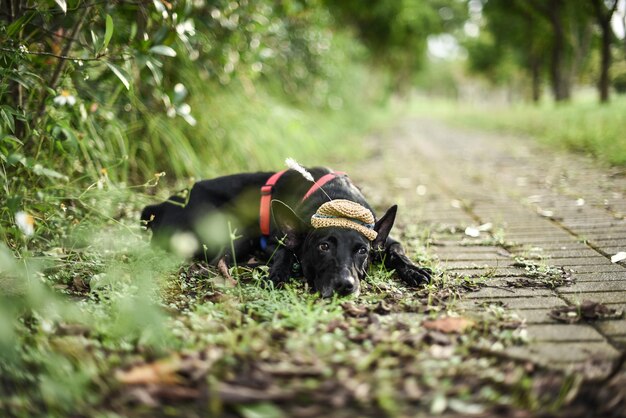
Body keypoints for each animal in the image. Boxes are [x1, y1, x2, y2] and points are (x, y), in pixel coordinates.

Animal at [141, 165, 428, 298]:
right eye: (323, 247)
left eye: (362, 251)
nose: (345, 285)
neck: (337, 200)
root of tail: (160, 206)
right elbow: (286, 249)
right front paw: (278, 272)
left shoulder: (383, 238)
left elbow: (397, 249)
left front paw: (414, 270)